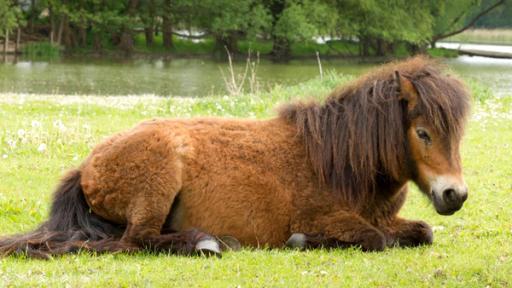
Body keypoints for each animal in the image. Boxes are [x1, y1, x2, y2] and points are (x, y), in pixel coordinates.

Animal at [0, 55, 468, 258]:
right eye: (423, 133)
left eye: (457, 135)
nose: (455, 195)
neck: (340, 163)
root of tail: (87, 166)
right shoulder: (326, 218)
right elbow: (373, 239)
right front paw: (301, 242)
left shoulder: (391, 219)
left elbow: (423, 231)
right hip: (157, 187)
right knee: (134, 241)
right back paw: (205, 242)